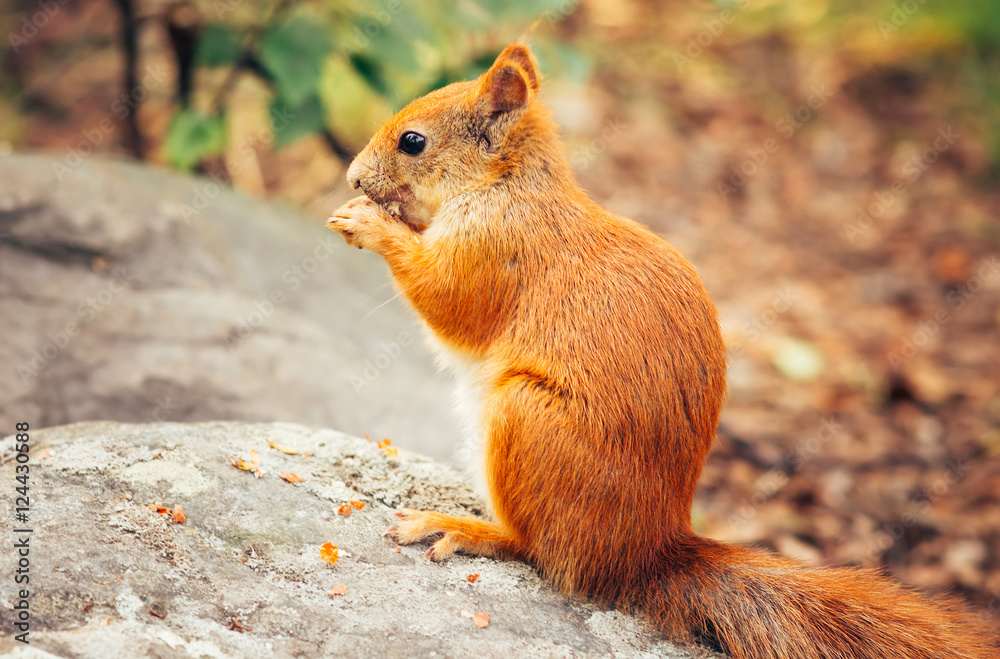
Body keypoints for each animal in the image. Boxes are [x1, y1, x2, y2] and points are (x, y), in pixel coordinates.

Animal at [326, 43, 992, 656]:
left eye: (413, 142)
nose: (354, 176)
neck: (506, 185)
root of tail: (645, 553)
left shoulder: (496, 249)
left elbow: (447, 299)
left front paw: (369, 223)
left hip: (527, 417)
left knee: (540, 550)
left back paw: (466, 527)